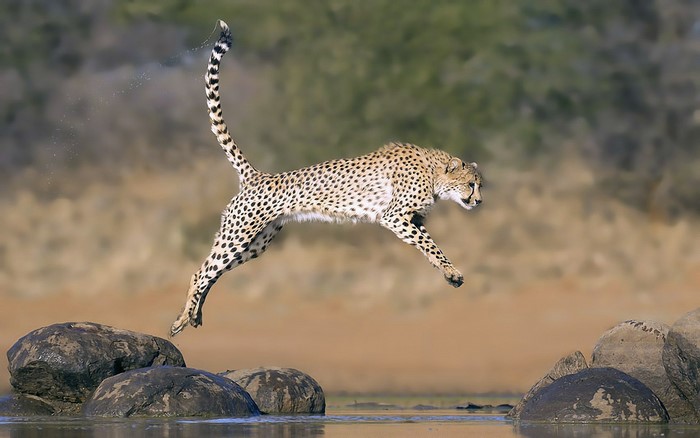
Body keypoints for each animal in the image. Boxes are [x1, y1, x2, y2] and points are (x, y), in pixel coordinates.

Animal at [170, 20, 483, 337]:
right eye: (471, 184)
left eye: (479, 185)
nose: (478, 201)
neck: (434, 172)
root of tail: (257, 175)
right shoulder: (393, 216)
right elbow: (430, 244)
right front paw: (452, 271)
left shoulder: (412, 219)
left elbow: (429, 244)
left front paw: (448, 273)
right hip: (239, 234)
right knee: (201, 272)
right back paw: (182, 319)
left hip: (256, 243)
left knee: (212, 273)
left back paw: (193, 316)